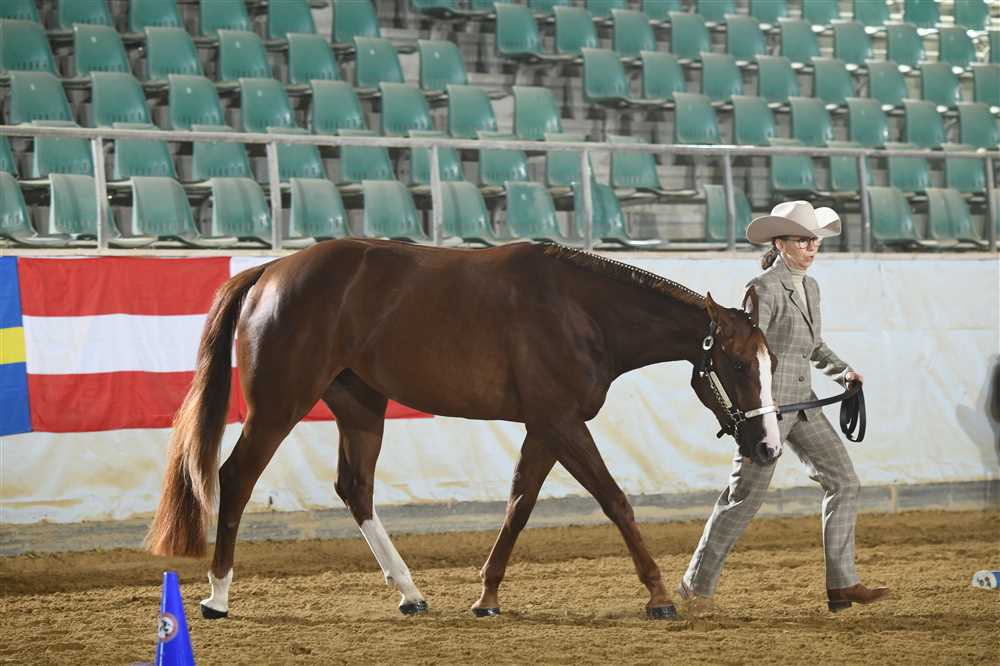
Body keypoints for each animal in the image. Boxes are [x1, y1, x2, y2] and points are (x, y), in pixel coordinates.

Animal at [146, 239, 782, 621]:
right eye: (739, 365)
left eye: (770, 361)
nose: (767, 446)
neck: (580, 310)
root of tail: (268, 273)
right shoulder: (561, 422)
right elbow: (615, 500)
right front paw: (658, 594)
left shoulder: (545, 427)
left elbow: (519, 505)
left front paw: (487, 595)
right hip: (279, 405)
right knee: (236, 477)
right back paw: (217, 596)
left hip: (360, 408)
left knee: (356, 489)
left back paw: (410, 593)